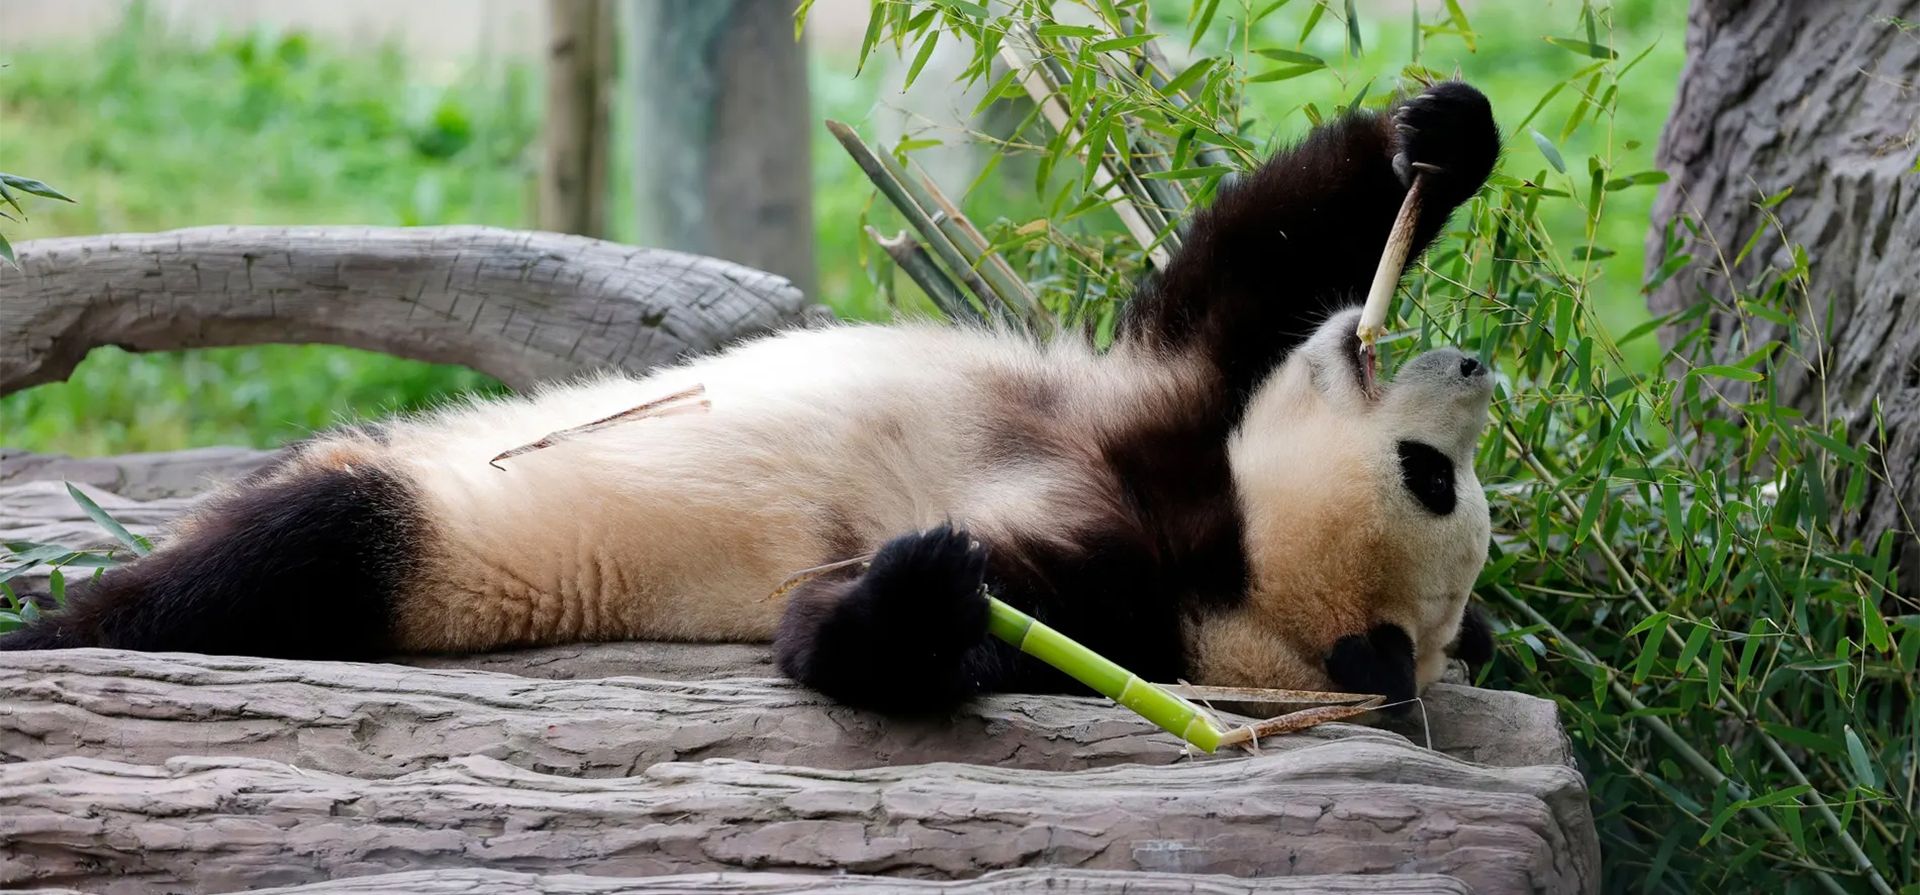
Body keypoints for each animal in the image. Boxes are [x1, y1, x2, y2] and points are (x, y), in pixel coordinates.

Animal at [2, 81, 1502, 715]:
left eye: (1435, 481)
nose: (1476, 368)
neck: (1222, 547)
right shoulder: (1168, 414)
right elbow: (1233, 273)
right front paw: (1438, 137)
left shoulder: (1135, 595)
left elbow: (862, 634)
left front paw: (927, 589)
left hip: (440, 544)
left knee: (292, 558)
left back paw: (65, 624)